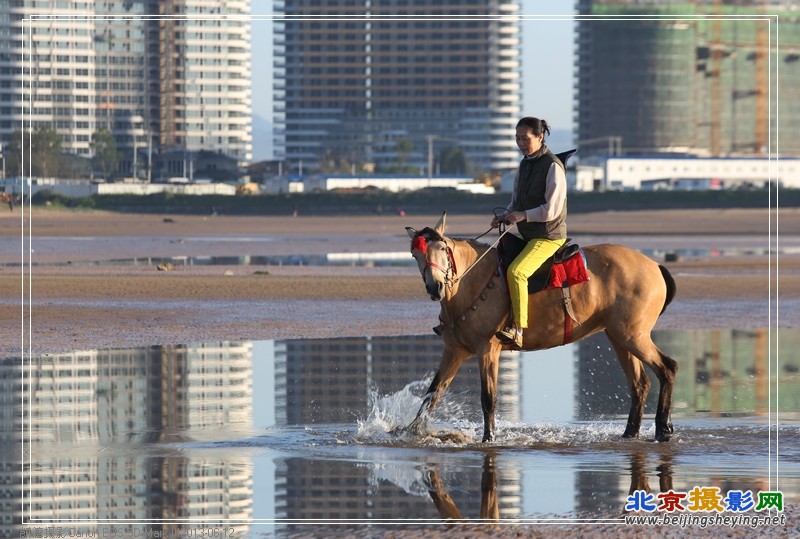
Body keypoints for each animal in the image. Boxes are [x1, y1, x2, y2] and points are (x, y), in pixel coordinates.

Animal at [404, 213, 680, 446]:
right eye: (415, 255)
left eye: (442, 249)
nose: (435, 287)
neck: (472, 283)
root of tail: (654, 266)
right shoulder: (454, 351)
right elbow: (431, 395)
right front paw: (411, 432)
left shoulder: (487, 349)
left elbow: (488, 399)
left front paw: (489, 439)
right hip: (619, 337)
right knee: (639, 384)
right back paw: (630, 433)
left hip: (634, 336)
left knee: (667, 368)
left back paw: (663, 429)